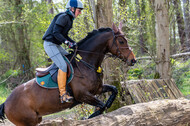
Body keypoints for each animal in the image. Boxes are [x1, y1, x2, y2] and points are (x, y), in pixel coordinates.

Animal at [0, 22, 137, 125]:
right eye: (121, 41)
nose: (133, 60)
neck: (86, 63)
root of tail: (6, 103)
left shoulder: (97, 89)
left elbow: (113, 92)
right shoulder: (82, 95)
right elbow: (102, 106)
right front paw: (86, 118)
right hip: (28, 121)